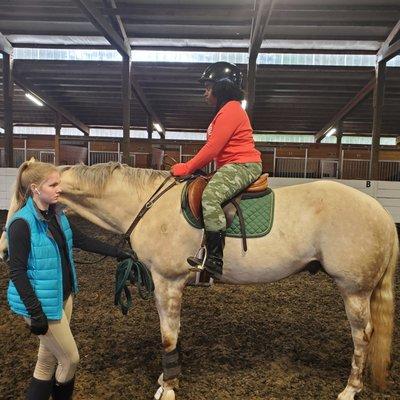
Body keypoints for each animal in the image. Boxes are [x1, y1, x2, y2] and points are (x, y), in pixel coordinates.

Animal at [0, 163, 396, 400]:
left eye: (20, 196)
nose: (6, 248)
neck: (149, 206)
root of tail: (380, 212)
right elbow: (173, 336)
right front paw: (167, 380)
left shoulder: (168, 283)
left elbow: (168, 336)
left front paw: (168, 387)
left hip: (353, 291)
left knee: (362, 336)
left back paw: (350, 389)